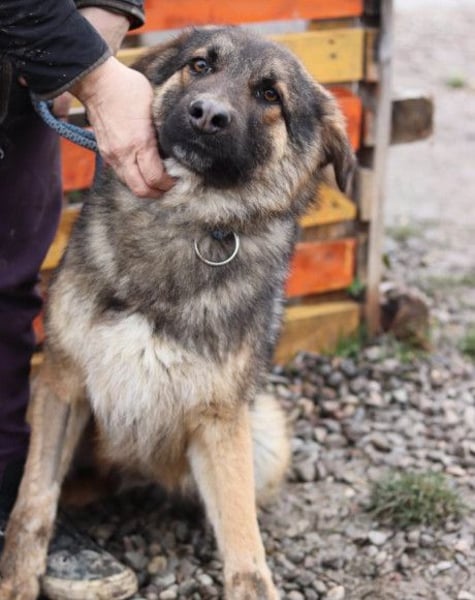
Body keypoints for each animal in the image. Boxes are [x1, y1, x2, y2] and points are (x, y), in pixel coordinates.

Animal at [0, 26, 354, 599]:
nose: (207, 115)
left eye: (270, 95)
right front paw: (17, 577)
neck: (187, 219)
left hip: (264, 435)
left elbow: (243, 541)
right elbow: (34, 500)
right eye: (200, 65)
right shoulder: (62, 384)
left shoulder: (221, 421)